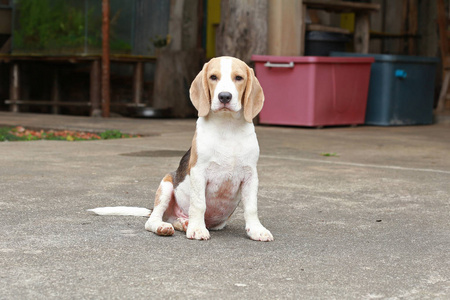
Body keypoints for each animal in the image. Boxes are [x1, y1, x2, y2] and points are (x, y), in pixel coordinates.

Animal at [88, 57, 272, 243]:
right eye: (213, 77)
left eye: (239, 78)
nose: (225, 96)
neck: (227, 126)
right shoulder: (199, 172)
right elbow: (199, 204)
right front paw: (197, 229)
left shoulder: (250, 175)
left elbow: (251, 207)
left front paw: (256, 230)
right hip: (167, 184)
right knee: (152, 220)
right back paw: (167, 226)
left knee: (176, 220)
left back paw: (184, 223)